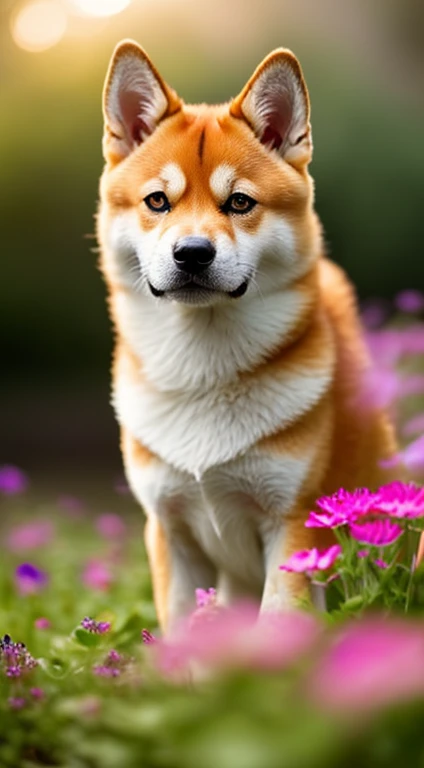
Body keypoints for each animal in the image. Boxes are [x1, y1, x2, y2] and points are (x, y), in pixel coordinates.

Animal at [97, 40, 398, 632]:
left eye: (239, 202)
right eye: (157, 201)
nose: (192, 253)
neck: (203, 376)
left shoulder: (292, 522)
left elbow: (277, 623)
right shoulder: (169, 530)